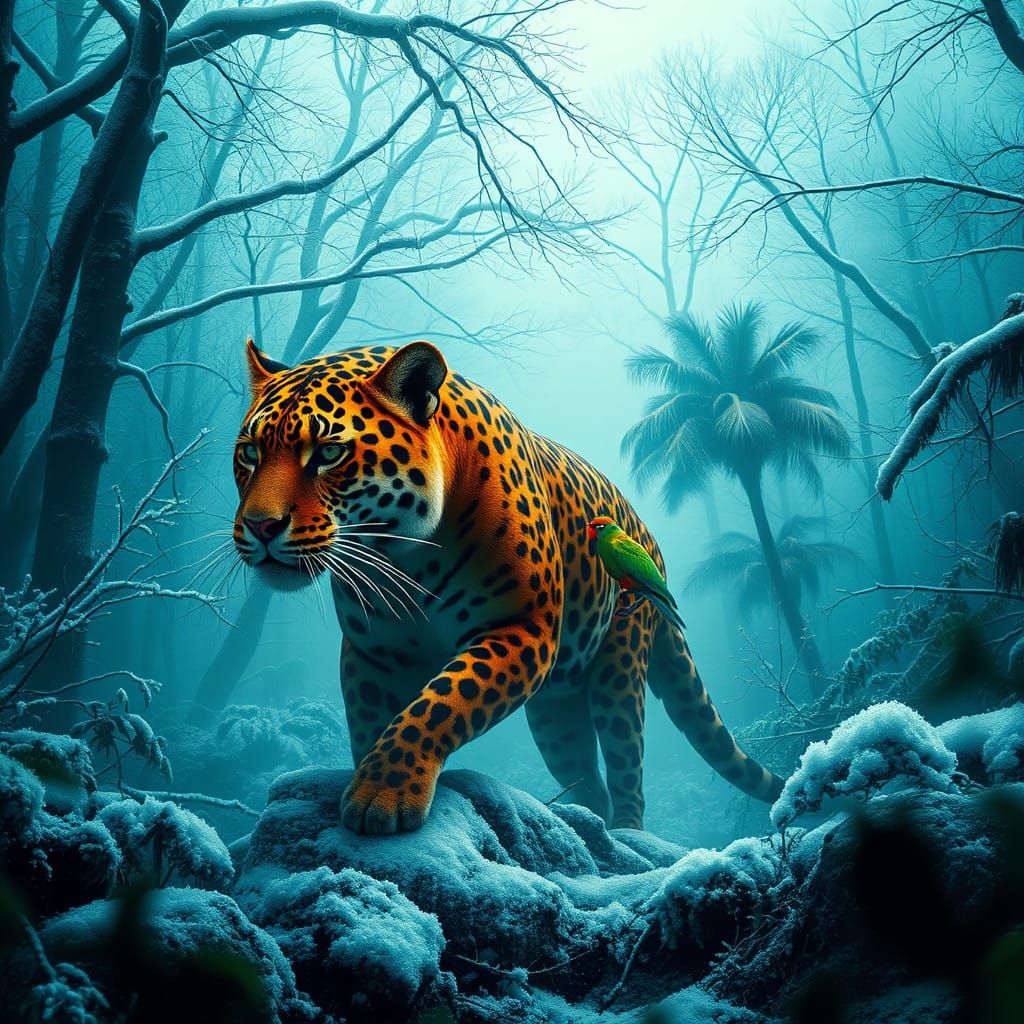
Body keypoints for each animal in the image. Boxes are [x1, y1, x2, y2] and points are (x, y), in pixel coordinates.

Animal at [232, 338, 784, 834]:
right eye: (249, 453)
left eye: (329, 452)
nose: (260, 526)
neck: (405, 556)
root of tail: (648, 540)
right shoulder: (374, 651)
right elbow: (370, 724)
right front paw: (367, 783)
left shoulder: (521, 626)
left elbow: (439, 704)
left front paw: (381, 794)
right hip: (556, 712)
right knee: (587, 776)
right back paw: (581, 822)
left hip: (620, 663)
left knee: (626, 759)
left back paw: (628, 832)